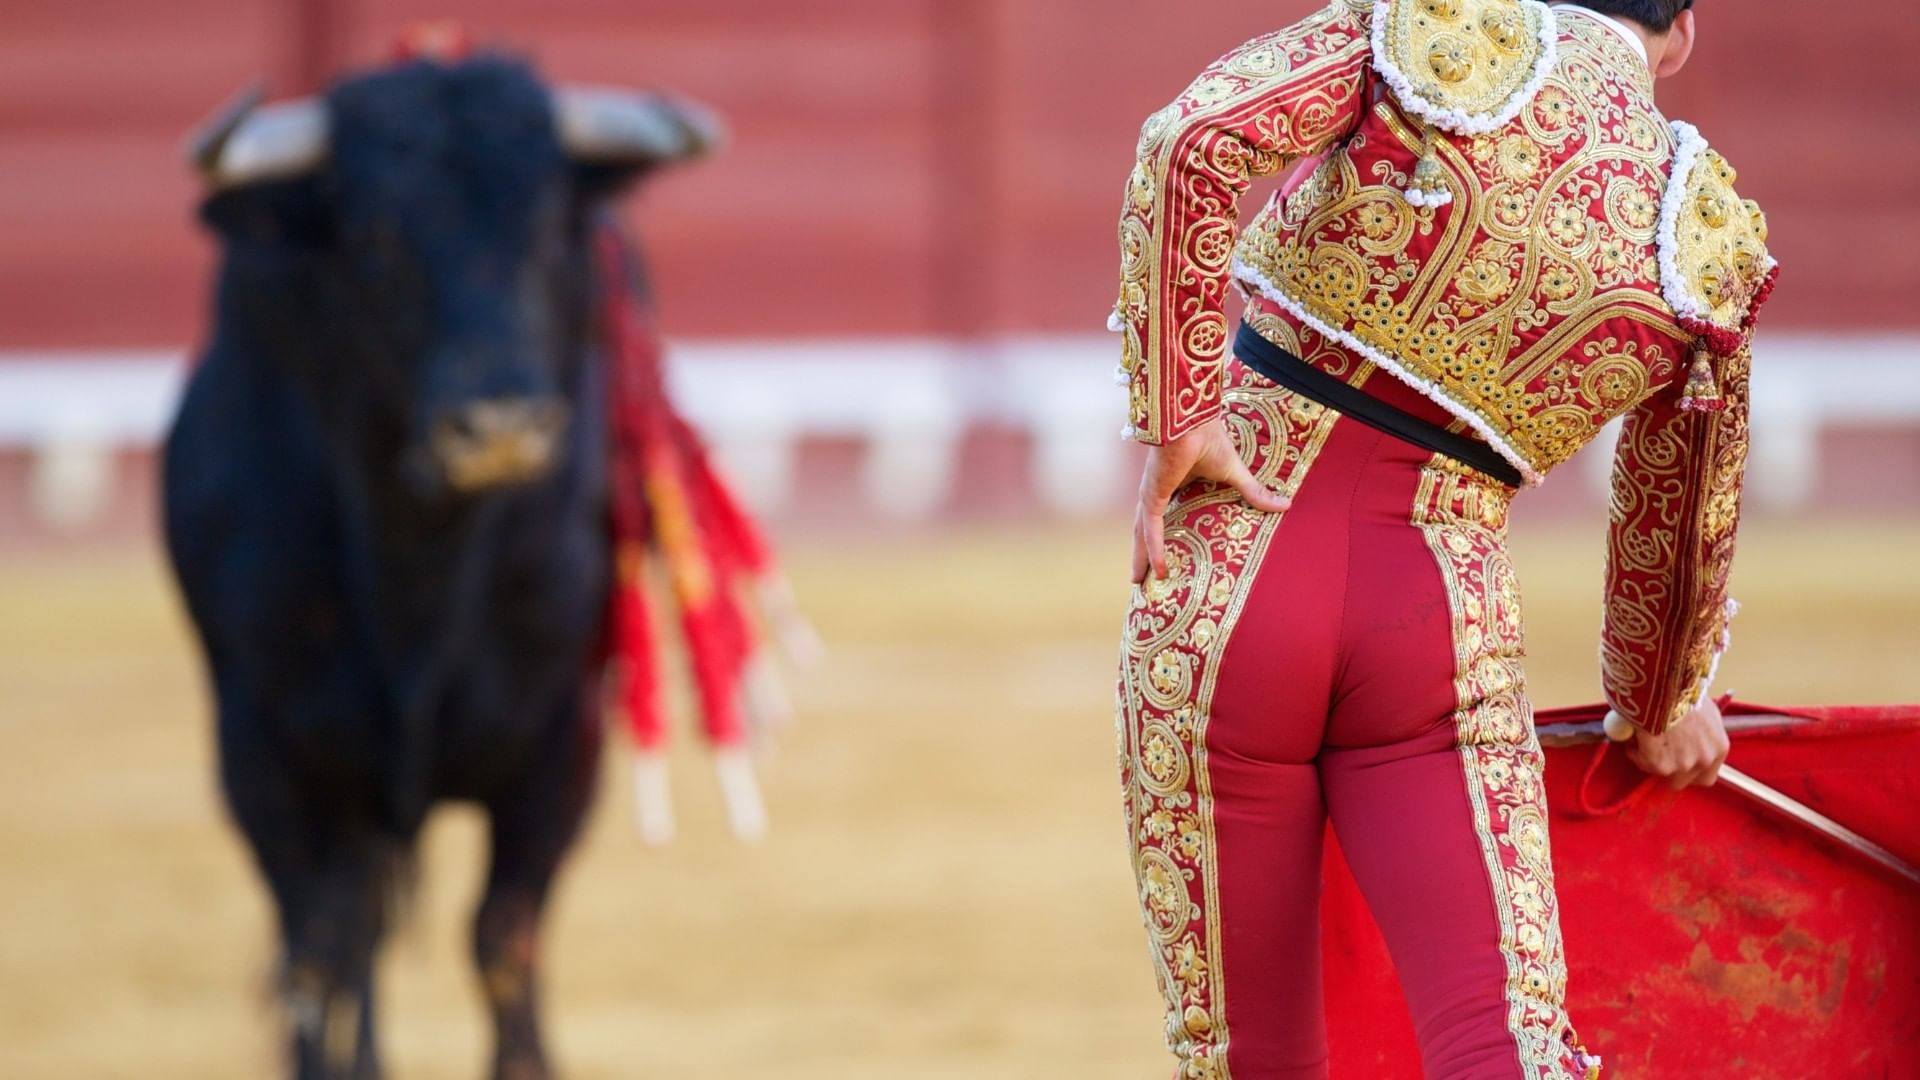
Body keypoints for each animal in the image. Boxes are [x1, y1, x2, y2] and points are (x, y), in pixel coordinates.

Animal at [163, 55, 718, 1080]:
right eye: (376, 237)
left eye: (551, 224)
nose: (499, 425)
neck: (421, 558)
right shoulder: (261, 747)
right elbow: (318, 957)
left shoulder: (561, 745)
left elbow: (503, 938)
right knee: (353, 936)